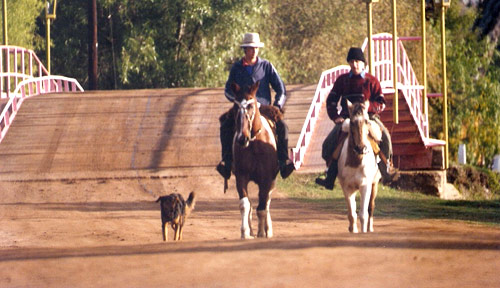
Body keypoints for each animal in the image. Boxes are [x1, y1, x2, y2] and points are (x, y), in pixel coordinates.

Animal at [229, 81, 278, 238]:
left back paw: (267, 229)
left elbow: (262, 207)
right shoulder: (241, 177)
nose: (242, 138)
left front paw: (262, 232)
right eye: (236, 107)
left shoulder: (266, 179)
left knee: (266, 202)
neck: (254, 145)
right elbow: (245, 205)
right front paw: (245, 232)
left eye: (250, 106)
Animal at [338, 100, 380, 233]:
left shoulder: (365, 186)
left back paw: (370, 228)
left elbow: (363, 215)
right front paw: (353, 230)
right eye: (352, 122)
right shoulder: (347, 188)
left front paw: (364, 231)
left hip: (374, 184)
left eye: (367, 121)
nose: (361, 148)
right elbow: (352, 214)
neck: (356, 163)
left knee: (371, 207)